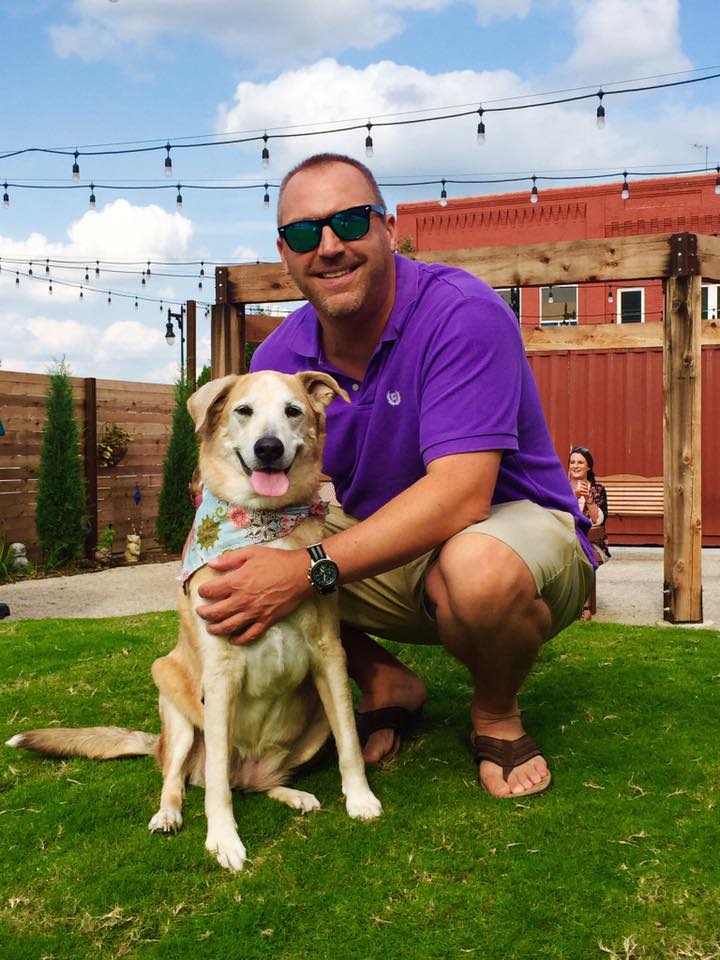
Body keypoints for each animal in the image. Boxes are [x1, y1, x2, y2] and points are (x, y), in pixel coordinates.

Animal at [8, 372, 382, 872]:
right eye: (243, 411)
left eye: (293, 411)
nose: (268, 448)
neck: (262, 522)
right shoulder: (220, 677)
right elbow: (218, 783)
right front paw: (223, 839)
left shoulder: (329, 657)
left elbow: (350, 742)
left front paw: (359, 798)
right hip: (176, 705)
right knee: (181, 778)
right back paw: (168, 815)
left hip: (311, 720)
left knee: (254, 782)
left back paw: (292, 794)